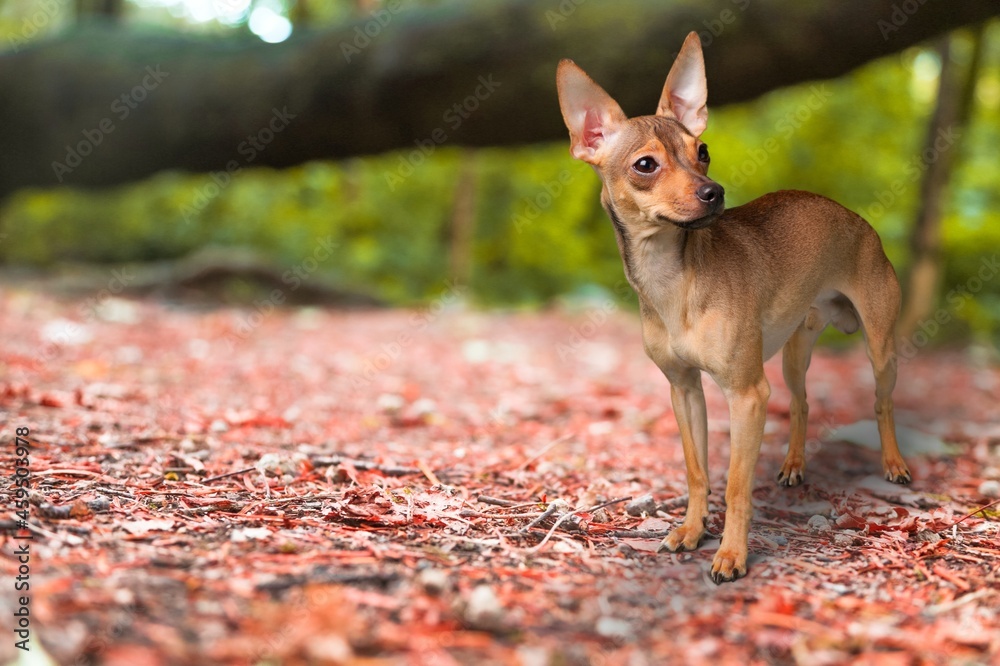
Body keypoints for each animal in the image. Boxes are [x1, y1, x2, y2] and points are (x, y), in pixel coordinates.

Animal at [560, 31, 912, 580]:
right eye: (646, 165)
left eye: (703, 151)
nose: (714, 191)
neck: (674, 281)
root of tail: (855, 218)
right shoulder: (685, 391)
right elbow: (698, 471)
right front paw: (691, 530)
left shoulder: (747, 395)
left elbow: (735, 485)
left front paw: (730, 553)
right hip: (793, 356)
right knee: (804, 403)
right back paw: (793, 466)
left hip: (879, 347)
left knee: (882, 401)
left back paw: (893, 464)